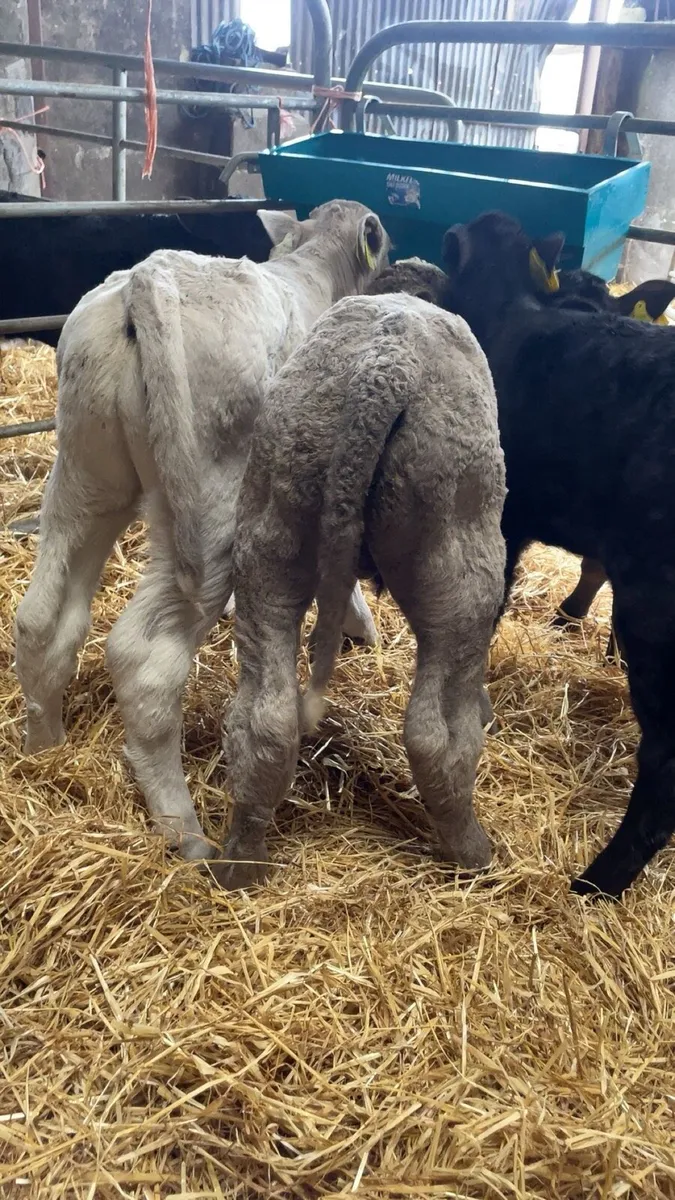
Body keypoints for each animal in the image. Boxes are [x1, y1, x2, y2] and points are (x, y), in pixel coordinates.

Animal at [14, 200, 389, 862]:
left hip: (86, 472)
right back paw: (186, 834)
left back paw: (45, 753)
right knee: (142, 660)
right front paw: (360, 626)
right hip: (208, 510)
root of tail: (148, 278)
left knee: (42, 619)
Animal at [207, 292, 506, 890]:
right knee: (436, 737)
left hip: (271, 536)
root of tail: (384, 367)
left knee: (265, 720)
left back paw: (241, 863)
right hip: (462, 566)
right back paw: (474, 854)